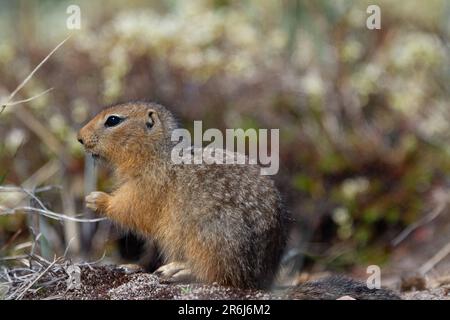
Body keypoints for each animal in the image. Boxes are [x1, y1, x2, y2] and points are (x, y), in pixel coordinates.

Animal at [77, 101, 286, 288]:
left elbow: (131, 207)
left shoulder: (147, 185)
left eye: (113, 120)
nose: (79, 137)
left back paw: (176, 270)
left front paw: (97, 199)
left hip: (212, 236)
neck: (156, 155)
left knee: (218, 274)